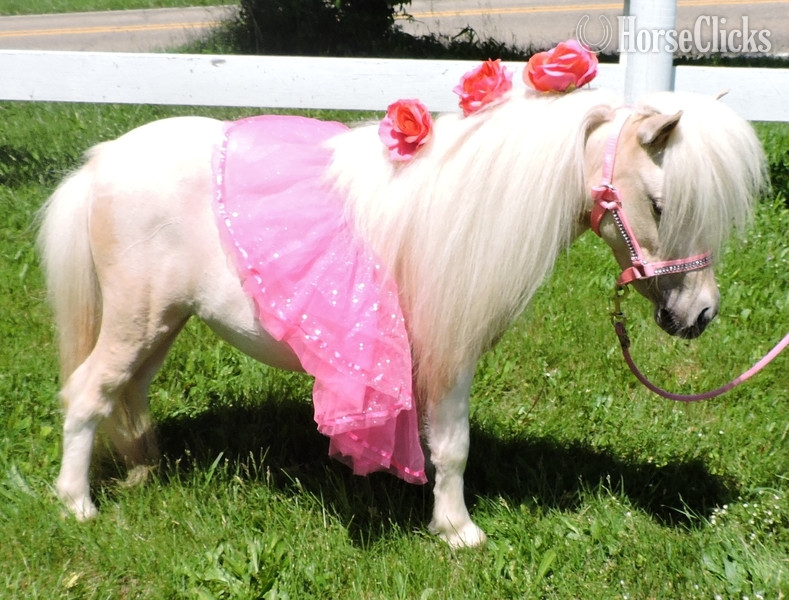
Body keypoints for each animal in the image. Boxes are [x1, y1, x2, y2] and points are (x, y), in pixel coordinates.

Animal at [37, 87, 766, 548]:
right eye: (663, 204)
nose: (699, 313)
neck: (468, 202)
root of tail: (100, 162)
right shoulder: (451, 355)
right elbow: (453, 446)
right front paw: (458, 531)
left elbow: (434, 443)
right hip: (137, 319)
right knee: (88, 393)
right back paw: (76, 504)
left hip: (161, 325)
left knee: (126, 393)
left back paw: (142, 472)